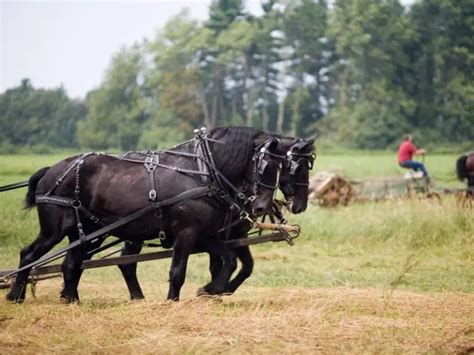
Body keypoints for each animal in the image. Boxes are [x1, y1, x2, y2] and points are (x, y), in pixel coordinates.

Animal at [6, 128, 286, 304]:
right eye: (264, 166)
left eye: (281, 168)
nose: (261, 207)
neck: (203, 171)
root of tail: (50, 170)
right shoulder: (186, 233)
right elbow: (178, 271)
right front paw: (173, 300)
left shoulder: (205, 235)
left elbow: (229, 260)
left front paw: (211, 290)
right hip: (55, 230)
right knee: (29, 254)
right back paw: (15, 295)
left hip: (86, 233)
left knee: (70, 263)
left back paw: (71, 299)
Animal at [118, 138, 314, 298]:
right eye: (297, 167)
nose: (301, 206)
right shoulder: (220, 234)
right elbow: (222, 265)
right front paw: (212, 290)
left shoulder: (235, 235)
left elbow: (246, 265)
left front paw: (220, 290)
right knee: (127, 263)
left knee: (126, 263)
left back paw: (138, 297)